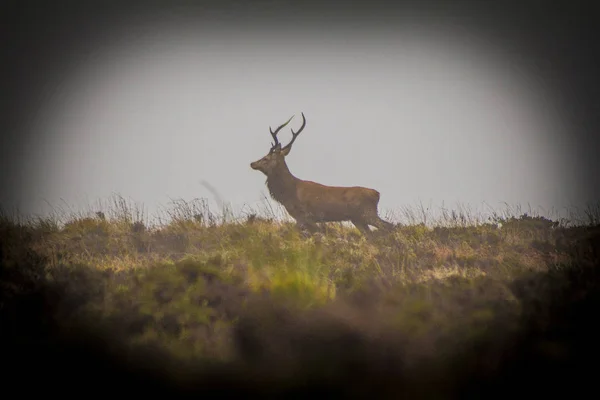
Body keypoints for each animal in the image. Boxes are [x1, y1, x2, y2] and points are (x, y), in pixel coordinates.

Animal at [248, 111, 394, 238]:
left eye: (266, 158)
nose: (252, 163)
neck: (288, 194)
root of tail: (377, 194)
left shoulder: (304, 216)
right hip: (358, 219)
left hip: (367, 213)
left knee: (389, 226)